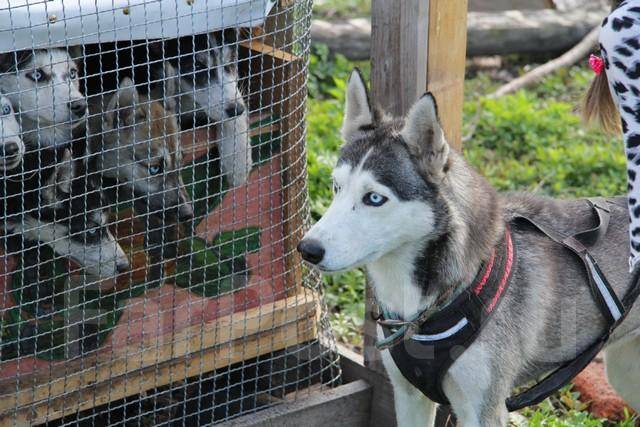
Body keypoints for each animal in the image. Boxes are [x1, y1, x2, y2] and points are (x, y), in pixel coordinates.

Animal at [298, 71, 640, 427]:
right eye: (336, 187)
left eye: (374, 198)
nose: (307, 249)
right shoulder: (408, 395)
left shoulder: (484, 409)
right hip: (625, 373)